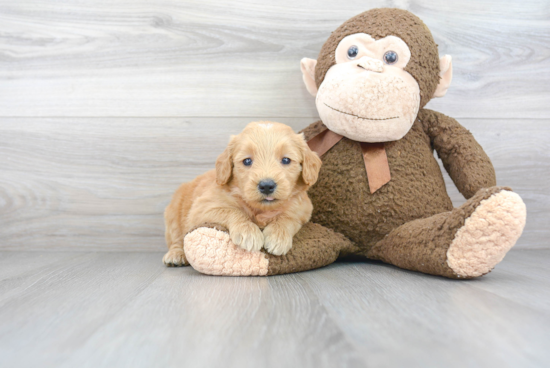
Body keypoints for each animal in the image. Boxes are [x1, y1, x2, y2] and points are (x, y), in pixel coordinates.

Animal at [162, 122, 324, 266]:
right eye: (247, 161)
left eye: (285, 160)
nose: (266, 186)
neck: (261, 210)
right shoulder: (201, 208)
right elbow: (232, 211)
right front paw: (248, 232)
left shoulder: (302, 210)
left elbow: (287, 218)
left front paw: (278, 236)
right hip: (174, 215)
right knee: (177, 239)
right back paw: (176, 255)